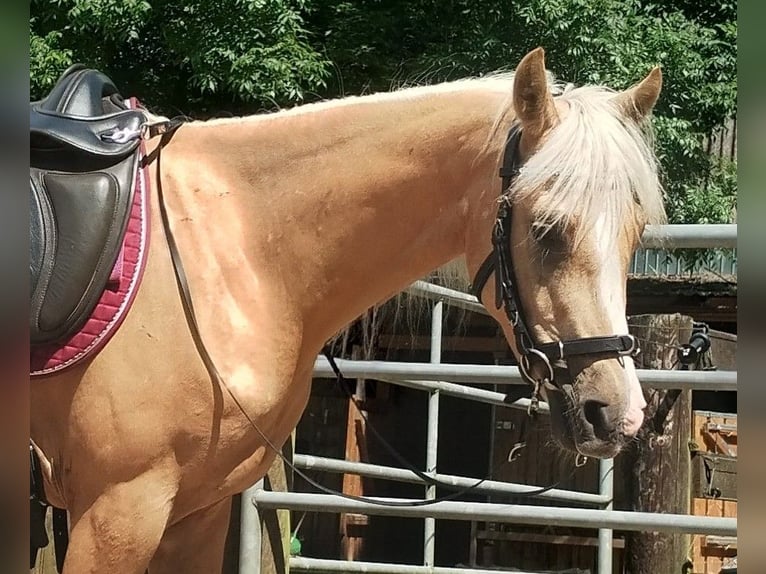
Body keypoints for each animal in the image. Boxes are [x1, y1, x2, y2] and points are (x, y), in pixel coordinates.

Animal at [30, 47, 664, 572]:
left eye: (635, 235)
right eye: (547, 229)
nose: (618, 413)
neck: (232, 246)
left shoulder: (196, 514)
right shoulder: (118, 511)